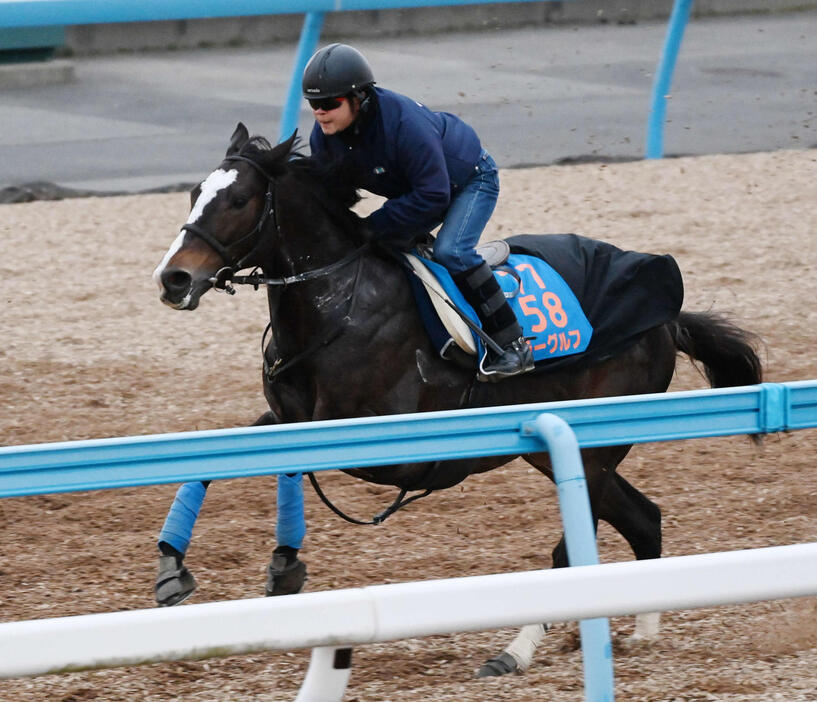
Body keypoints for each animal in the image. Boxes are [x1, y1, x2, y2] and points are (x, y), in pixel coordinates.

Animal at [150, 124, 760, 680]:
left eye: (238, 200)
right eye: (194, 192)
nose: (172, 278)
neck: (340, 305)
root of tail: (667, 318)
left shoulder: (388, 451)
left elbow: (292, 465)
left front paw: (282, 564)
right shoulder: (288, 418)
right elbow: (219, 460)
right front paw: (181, 566)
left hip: (591, 450)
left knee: (573, 552)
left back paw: (515, 651)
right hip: (567, 452)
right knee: (644, 519)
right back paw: (641, 630)